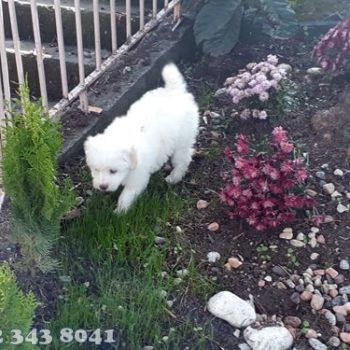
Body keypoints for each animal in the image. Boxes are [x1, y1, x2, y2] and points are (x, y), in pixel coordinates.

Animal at [84, 63, 198, 213]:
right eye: (96, 170)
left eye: (113, 171)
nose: (103, 187)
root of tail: (176, 90)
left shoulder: (137, 178)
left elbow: (126, 196)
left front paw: (119, 212)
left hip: (182, 139)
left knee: (183, 158)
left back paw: (174, 177)